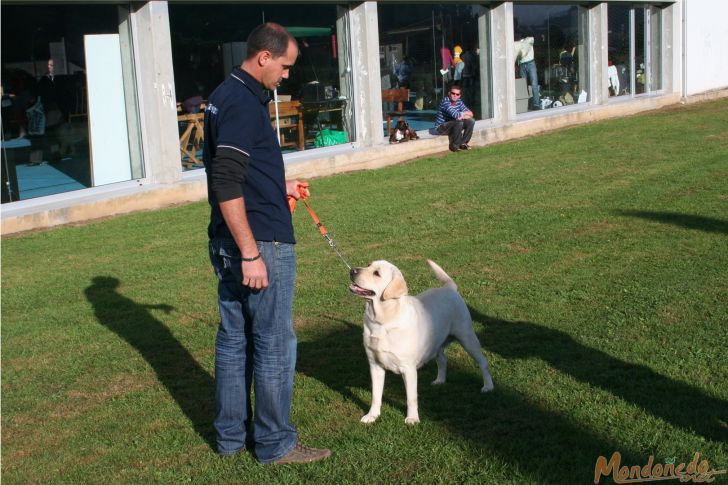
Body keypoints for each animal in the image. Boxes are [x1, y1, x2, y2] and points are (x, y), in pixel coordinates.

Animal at [348, 260, 494, 422]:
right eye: (368, 265)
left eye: (377, 273)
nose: (352, 271)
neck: (382, 321)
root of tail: (449, 288)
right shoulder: (375, 365)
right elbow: (375, 395)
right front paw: (372, 415)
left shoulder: (408, 368)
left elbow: (411, 397)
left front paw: (412, 419)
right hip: (435, 343)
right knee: (443, 359)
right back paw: (439, 380)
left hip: (467, 337)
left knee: (483, 362)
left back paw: (488, 386)